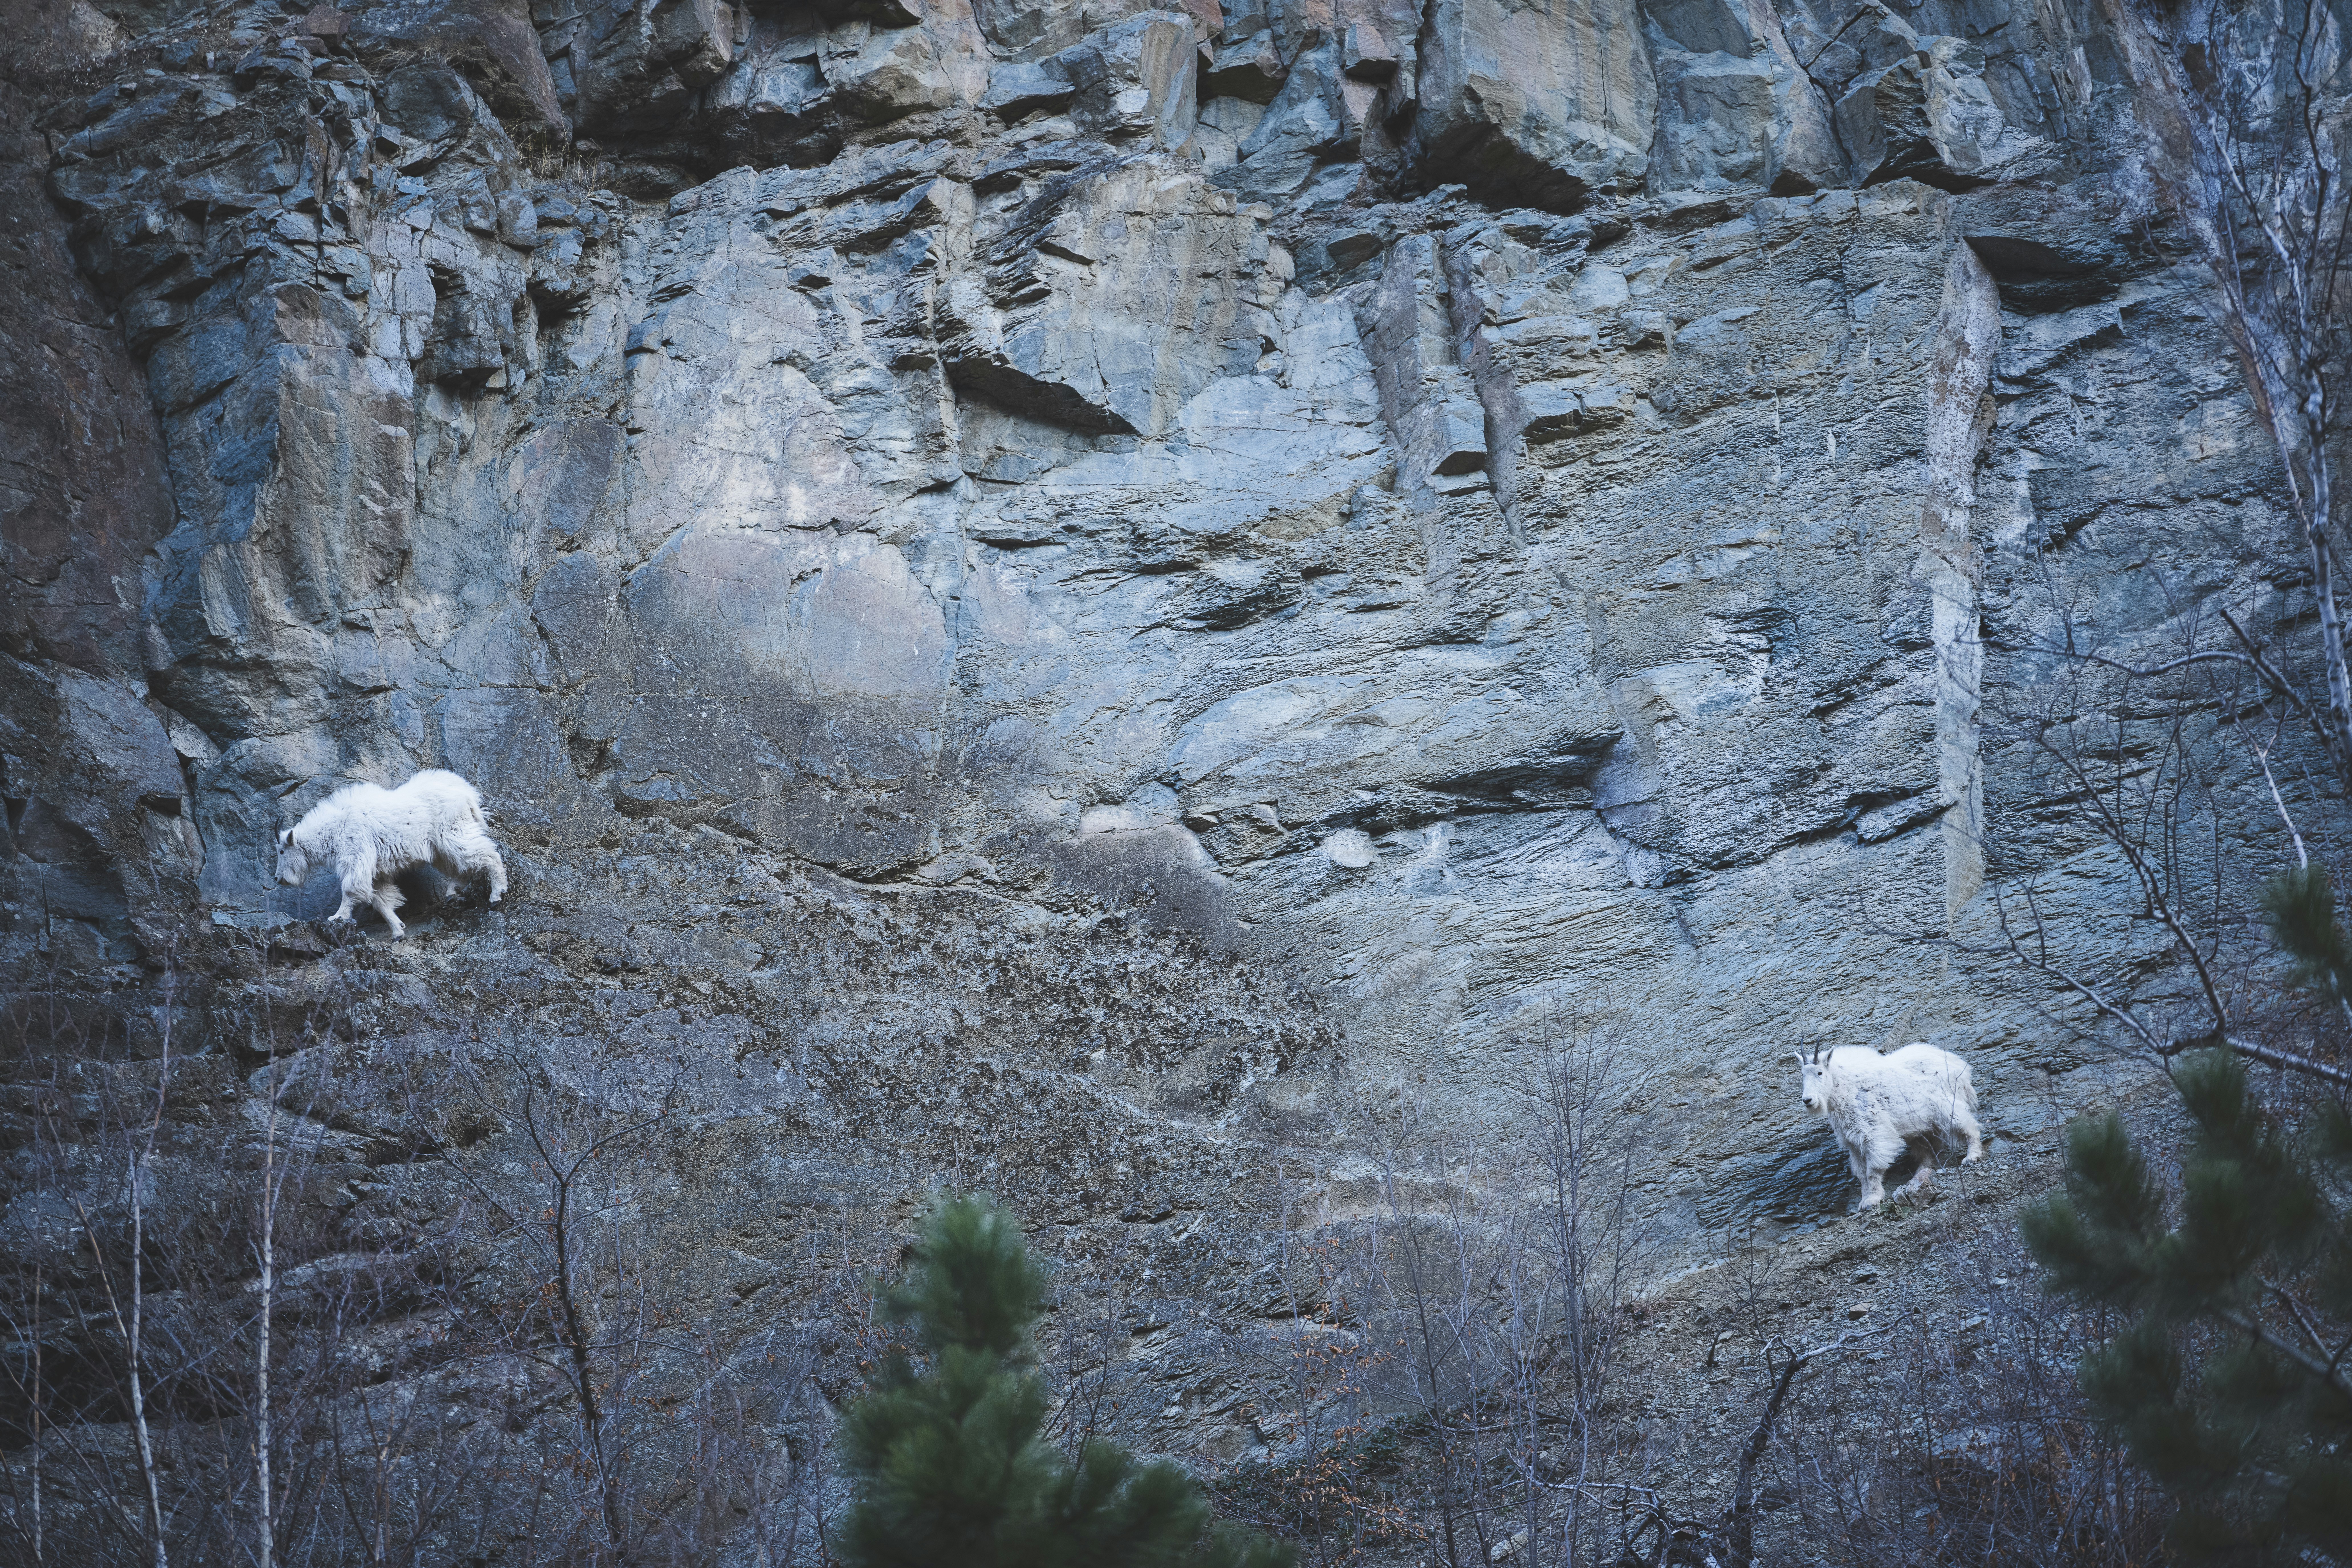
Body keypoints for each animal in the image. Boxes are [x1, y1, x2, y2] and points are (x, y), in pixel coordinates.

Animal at [276, 769, 506, 939]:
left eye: (281, 851)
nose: (279, 879)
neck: (333, 830)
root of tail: (468, 795)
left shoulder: (357, 857)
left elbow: (351, 890)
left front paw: (337, 917)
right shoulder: (377, 872)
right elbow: (381, 901)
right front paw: (398, 932)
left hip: (452, 832)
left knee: (486, 855)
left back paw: (496, 895)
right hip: (440, 848)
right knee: (463, 865)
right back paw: (452, 893)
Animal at [1795, 1042, 1984, 1209]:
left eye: (1820, 1073)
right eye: (1802, 1075)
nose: (1808, 1100)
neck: (1844, 1088)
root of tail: (1960, 1066)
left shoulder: (1873, 1132)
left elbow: (1873, 1170)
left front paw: (1873, 1200)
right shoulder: (1853, 1141)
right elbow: (1861, 1174)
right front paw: (1864, 1201)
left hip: (1947, 1105)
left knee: (1968, 1127)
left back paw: (1972, 1157)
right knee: (1929, 1148)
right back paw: (1919, 1175)